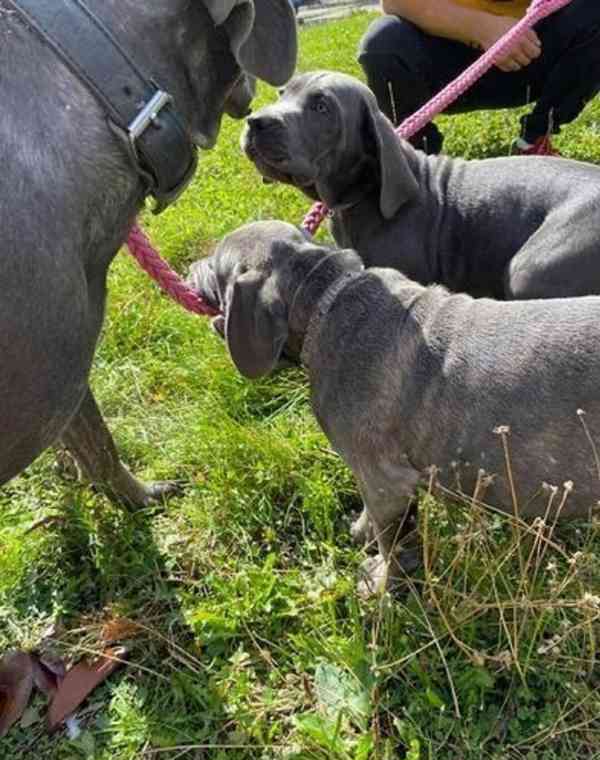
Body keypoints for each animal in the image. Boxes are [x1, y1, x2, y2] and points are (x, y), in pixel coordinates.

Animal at [190, 223, 600, 596]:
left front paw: (383, 586)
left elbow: (395, 544)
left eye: (216, 263)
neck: (325, 297)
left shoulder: (386, 481)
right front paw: (362, 532)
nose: (191, 268)